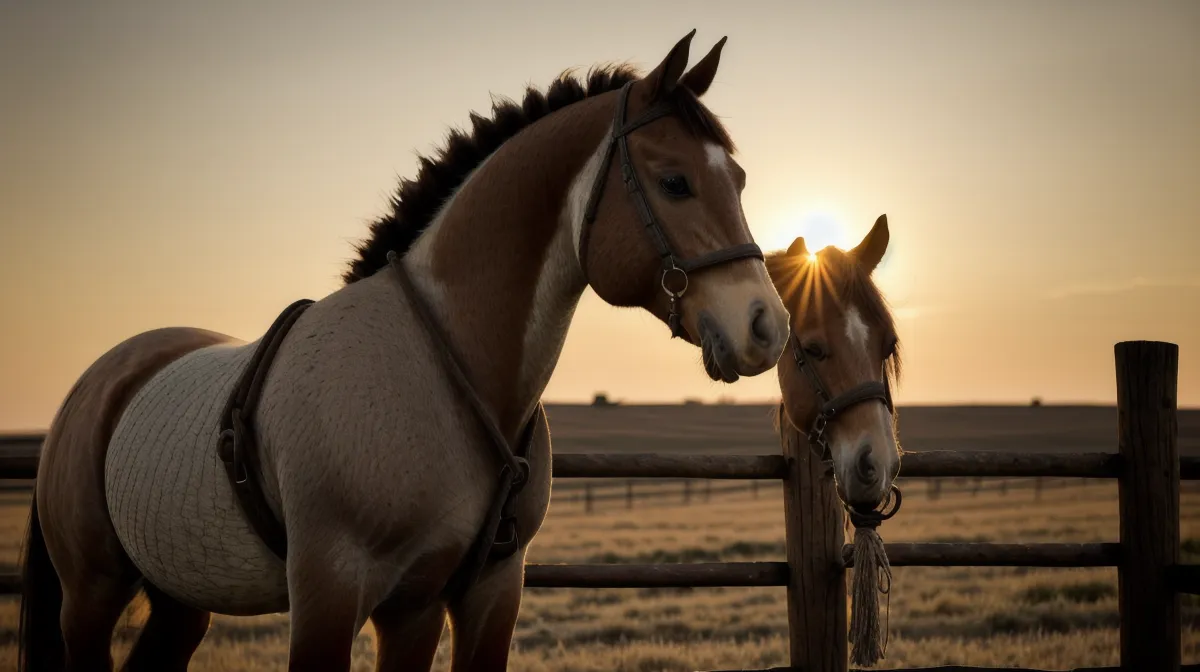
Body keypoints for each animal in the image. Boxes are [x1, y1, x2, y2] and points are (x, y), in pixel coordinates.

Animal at [18, 30, 791, 672]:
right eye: (675, 181)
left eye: (738, 179)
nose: (766, 327)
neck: (441, 373)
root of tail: (102, 380)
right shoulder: (331, 597)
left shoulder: (456, 602)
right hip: (91, 595)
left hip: (180, 601)